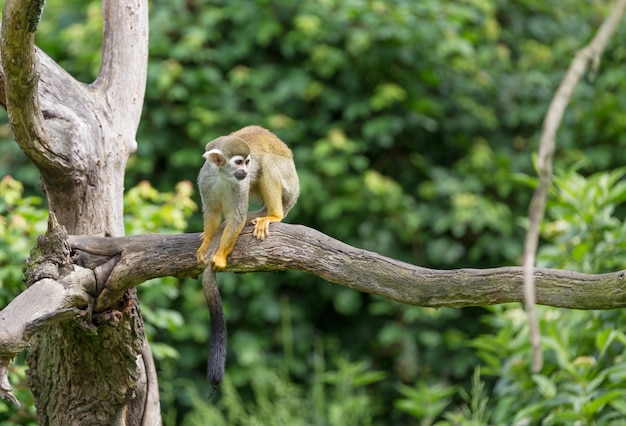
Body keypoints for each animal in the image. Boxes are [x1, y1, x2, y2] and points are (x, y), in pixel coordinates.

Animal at [197, 125, 300, 386]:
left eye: (247, 162)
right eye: (238, 162)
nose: (244, 171)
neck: (223, 176)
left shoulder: (239, 186)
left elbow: (236, 217)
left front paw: (219, 257)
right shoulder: (206, 179)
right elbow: (212, 213)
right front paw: (206, 243)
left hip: (289, 184)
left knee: (269, 164)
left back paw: (274, 215)